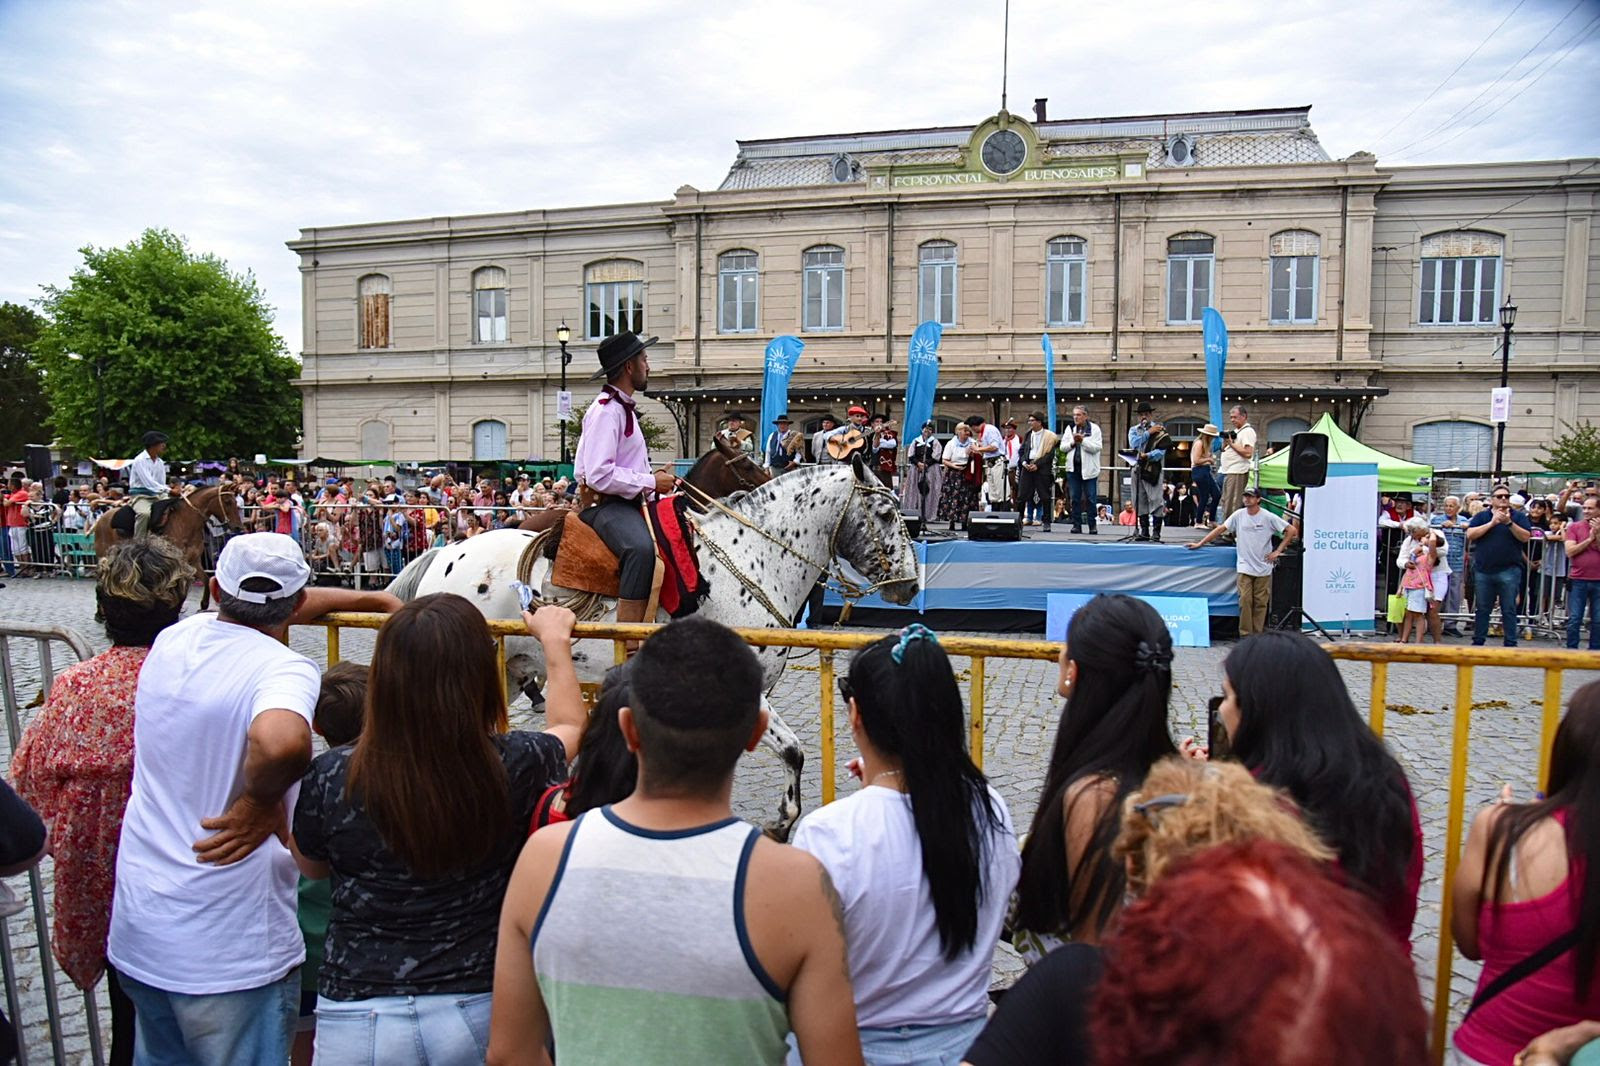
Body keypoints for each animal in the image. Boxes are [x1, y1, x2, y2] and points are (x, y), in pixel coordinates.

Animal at [91, 480, 243, 605]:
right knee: (100, 582)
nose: (238, 527)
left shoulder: (194, 561)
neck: (185, 522)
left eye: (236, 502)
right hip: (104, 556)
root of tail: (102, 518)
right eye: (228, 501)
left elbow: (206, 579)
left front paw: (204, 604)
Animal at [384, 451, 928, 832]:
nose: (909, 586)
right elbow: (787, 753)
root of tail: (442, 554)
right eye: (884, 512)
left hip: (511, 671)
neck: (750, 561)